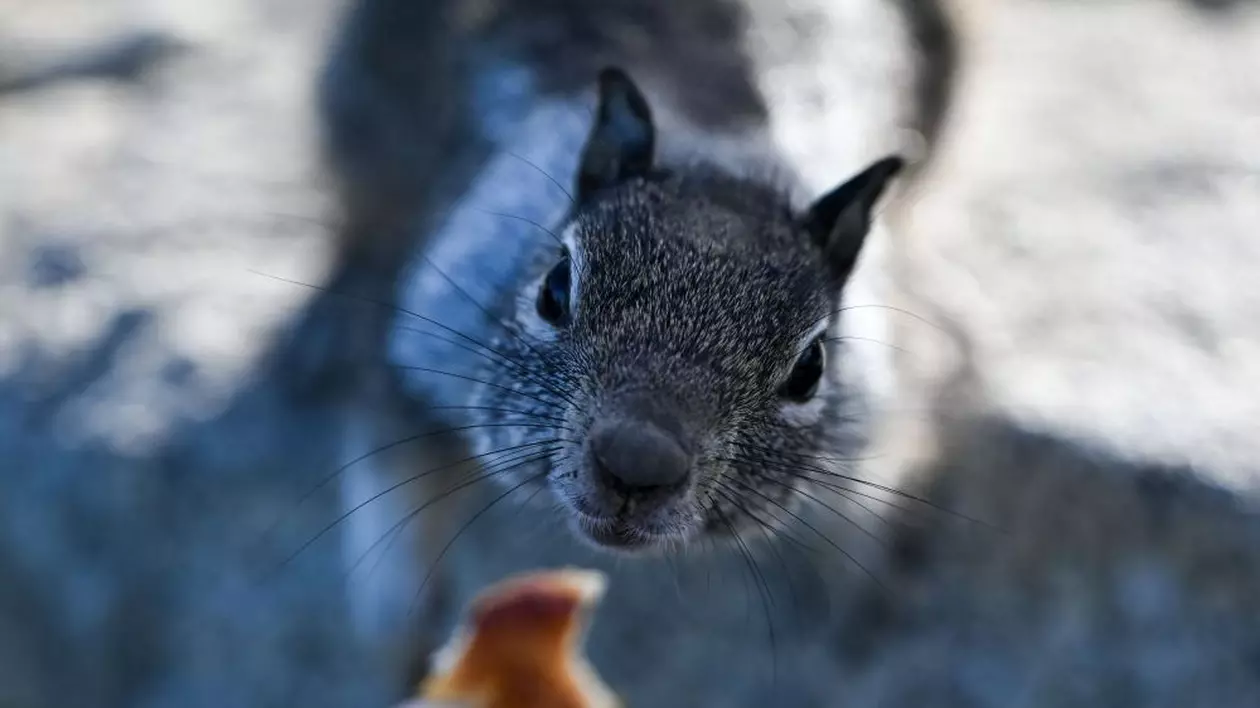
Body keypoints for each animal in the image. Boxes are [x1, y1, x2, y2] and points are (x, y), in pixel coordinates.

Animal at [292, 1, 1260, 705]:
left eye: (811, 368)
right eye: (554, 288)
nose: (637, 464)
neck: (726, 151)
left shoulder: (904, 379)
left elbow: (883, 481)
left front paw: (855, 591)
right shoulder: (422, 322)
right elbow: (385, 471)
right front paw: (404, 636)